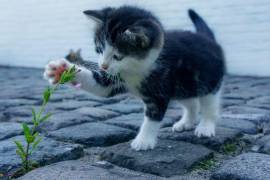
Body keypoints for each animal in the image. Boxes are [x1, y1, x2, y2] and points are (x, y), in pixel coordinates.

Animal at [44, 5, 226, 150]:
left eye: (118, 56)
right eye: (99, 49)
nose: (103, 66)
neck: (136, 69)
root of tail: (208, 39)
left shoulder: (159, 90)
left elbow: (153, 116)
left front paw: (143, 141)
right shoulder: (114, 79)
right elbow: (99, 85)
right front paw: (61, 69)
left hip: (208, 81)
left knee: (209, 105)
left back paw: (205, 127)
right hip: (183, 86)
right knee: (191, 103)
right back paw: (186, 122)